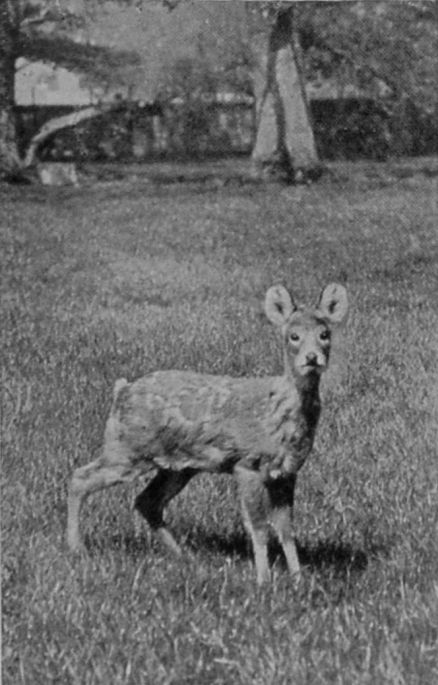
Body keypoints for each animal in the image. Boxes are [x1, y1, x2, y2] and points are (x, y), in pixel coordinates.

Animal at [67, 283, 348, 585]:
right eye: (293, 336)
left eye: (324, 334)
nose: (312, 358)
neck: (279, 410)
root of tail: (121, 390)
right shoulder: (247, 464)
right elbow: (259, 527)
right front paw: (263, 580)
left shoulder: (287, 472)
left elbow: (286, 529)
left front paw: (297, 577)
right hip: (126, 449)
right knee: (79, 478)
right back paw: (77, 548)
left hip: (177, 466)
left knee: (147, 501)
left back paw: (185, 557)